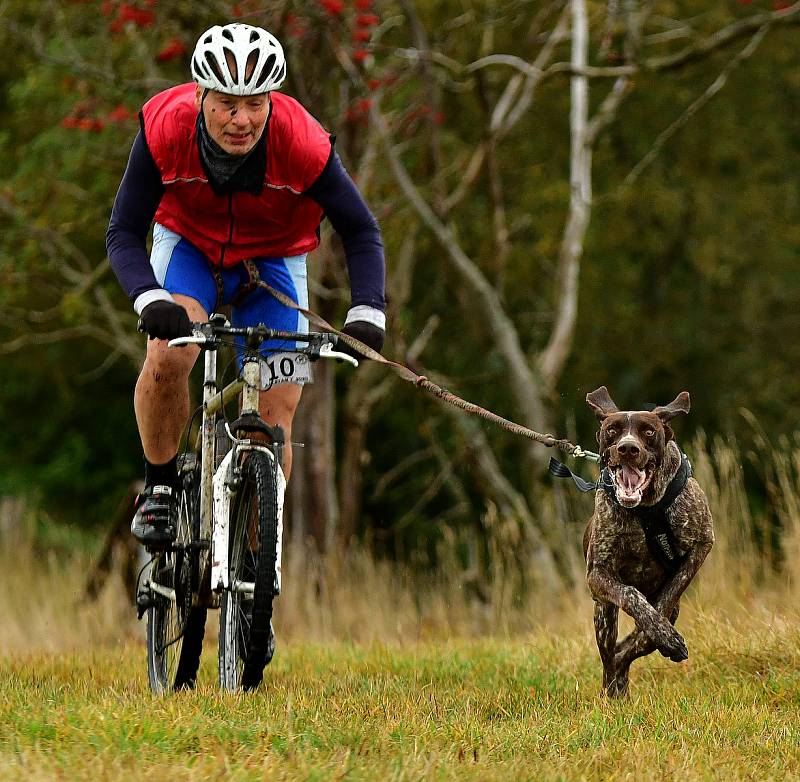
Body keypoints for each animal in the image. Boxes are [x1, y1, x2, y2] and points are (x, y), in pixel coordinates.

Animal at [580, 386, 712, 700]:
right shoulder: (597, 574)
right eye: (612, 430)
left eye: (649, 431)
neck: (646, 508)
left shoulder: (702, 543)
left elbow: (665, 600)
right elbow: (631, 595)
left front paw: (663, 635)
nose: (628, 448)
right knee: (609, 657)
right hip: (603, 614)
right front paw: (661, 634)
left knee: (626, 651)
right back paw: (612, 691)